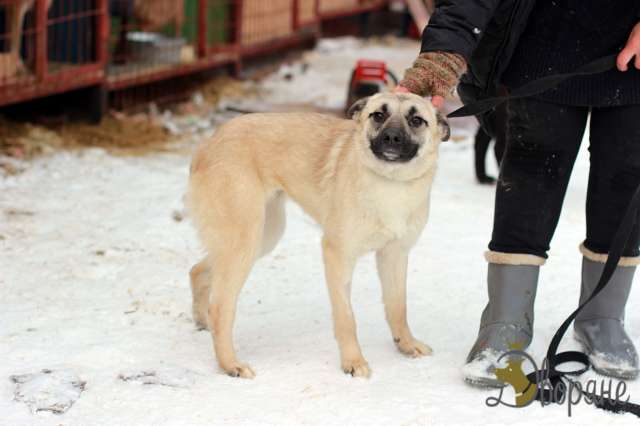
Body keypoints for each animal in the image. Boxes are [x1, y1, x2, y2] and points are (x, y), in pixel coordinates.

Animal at [188, 91, 450, 378]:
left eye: (416, 120)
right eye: (378, 115)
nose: (392, 137)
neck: (390, 183)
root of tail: (209, 142)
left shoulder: (394, 255)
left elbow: (398, 307)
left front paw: (406, 344)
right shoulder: (337, 255)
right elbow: (346, 317)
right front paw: (353, 361)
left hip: (262, 237)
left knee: (198, 271)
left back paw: (202, 321)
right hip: (245, 240)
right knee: (220, 306)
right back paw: (229, 363)